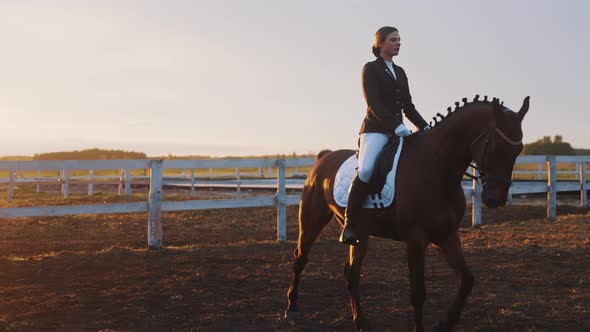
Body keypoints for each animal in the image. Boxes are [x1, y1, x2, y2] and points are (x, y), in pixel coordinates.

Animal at [286, 94, 532, 330]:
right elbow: (418, 293)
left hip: (361, 233)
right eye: (496, 146)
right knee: (301, 258)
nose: (495, 199)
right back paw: (292, 308)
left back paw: (361, 322)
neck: (437, 167)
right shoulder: (415, 239)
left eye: (518, 149)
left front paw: (446, 322)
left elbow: (467, 279)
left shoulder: (445, 235)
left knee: (351, 273)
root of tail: (323, 158)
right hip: (311, 220)